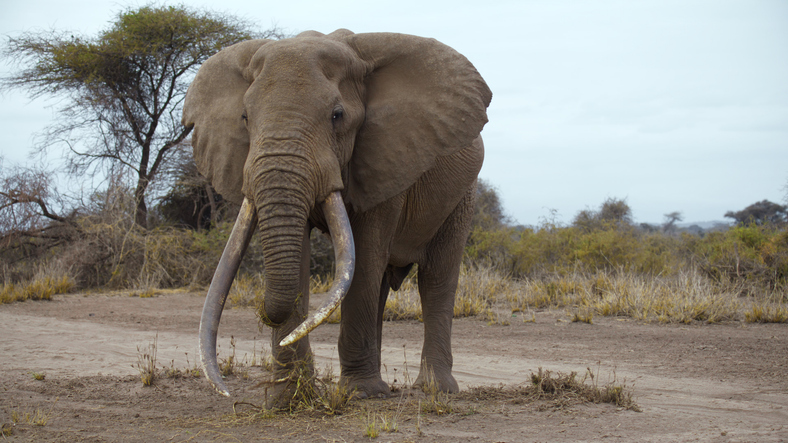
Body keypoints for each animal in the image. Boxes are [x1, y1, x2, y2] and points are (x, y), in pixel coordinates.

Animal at [182, 28, 491, 401]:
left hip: (463, 195)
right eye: (244, 118)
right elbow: (303, 255)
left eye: (337, 115)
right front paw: (288, 399)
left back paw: (435, 389)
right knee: (384, 285)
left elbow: (366, 255)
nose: (266, 316)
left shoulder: (384, 160)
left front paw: (361, 394)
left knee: (435, 277)